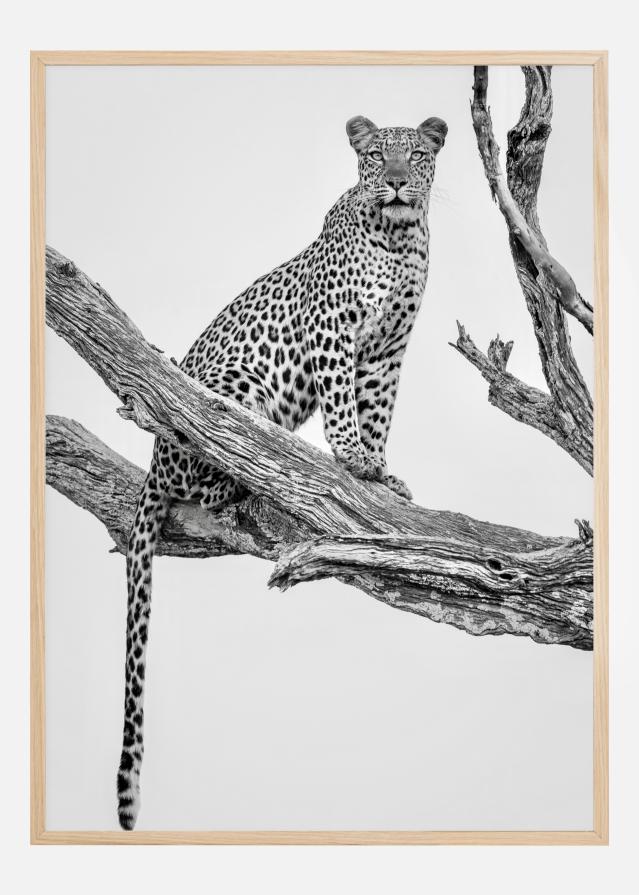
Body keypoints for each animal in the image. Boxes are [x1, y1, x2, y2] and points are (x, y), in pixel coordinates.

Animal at [117, 113, 447, 829]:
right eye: (376, 157)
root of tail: (151, 468)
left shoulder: (388, 350)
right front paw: (351, 459)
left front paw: (380, 473)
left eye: (416, 155)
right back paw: (248, 471)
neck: (400, 238)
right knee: (210, 459)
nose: (395, 182)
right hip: (230, 392)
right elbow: (344, 403)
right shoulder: (334, 330)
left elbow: (378, 410)